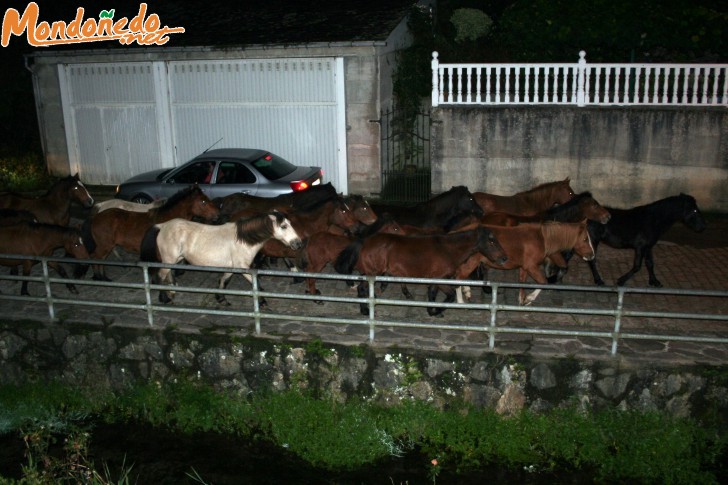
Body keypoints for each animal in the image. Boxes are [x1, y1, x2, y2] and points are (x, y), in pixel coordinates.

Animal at [80, 184, 219, 280]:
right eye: (203, 201)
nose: (217, 214)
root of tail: (96, 216)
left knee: (100, 260)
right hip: (104, 245)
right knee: (96, 258)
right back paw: (100, 278)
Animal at [139, 211, 302, 304]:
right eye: (284, 226)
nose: (298, 243)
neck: (244, 240)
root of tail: (162, 226)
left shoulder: (231, 267)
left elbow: (224, 281)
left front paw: (221, 299)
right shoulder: (242, 267)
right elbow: (257, 284)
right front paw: (262, 302)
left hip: (176, 260)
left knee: (168, 275)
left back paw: (172, 292)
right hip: (169, 259)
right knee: (160, 276)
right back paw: (165, 298)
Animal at [334, 225, 506, 316]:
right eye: (491, 241)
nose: (504, 258)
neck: (447, 249)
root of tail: (364, 241)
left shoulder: (434, 280)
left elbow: (432, 295)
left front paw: (431, 310)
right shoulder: (440, 279)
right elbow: (450, 296)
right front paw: (436, 312)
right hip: (372, 273)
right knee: (362, 288)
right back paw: (365, 310)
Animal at [458, 220, 596, 304]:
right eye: (585, 239)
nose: (592, 255)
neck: (542, 239)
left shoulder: (524, 267)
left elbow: (522, 282)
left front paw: (521, 299)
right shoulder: (531, 267)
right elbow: (543, 282)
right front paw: (529, 299)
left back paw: (467, 292)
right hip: (470, 263)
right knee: (458, 277)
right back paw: (460, 301)